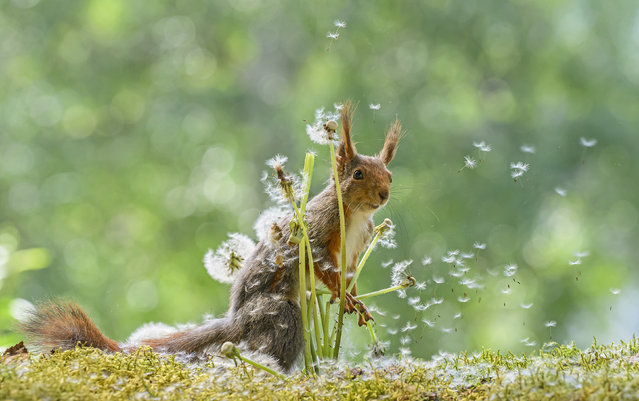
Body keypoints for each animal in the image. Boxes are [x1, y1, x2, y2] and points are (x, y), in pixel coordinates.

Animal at [21, 101, 400, 370]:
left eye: (390, 175)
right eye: (358, 174)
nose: (384, 195)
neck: (357, 215)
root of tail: (237, 321)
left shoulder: (356, 249)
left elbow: (349, 276)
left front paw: (356, 301)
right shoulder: (319, 235)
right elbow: (321, 265)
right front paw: (342, 295)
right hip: (281, 313)